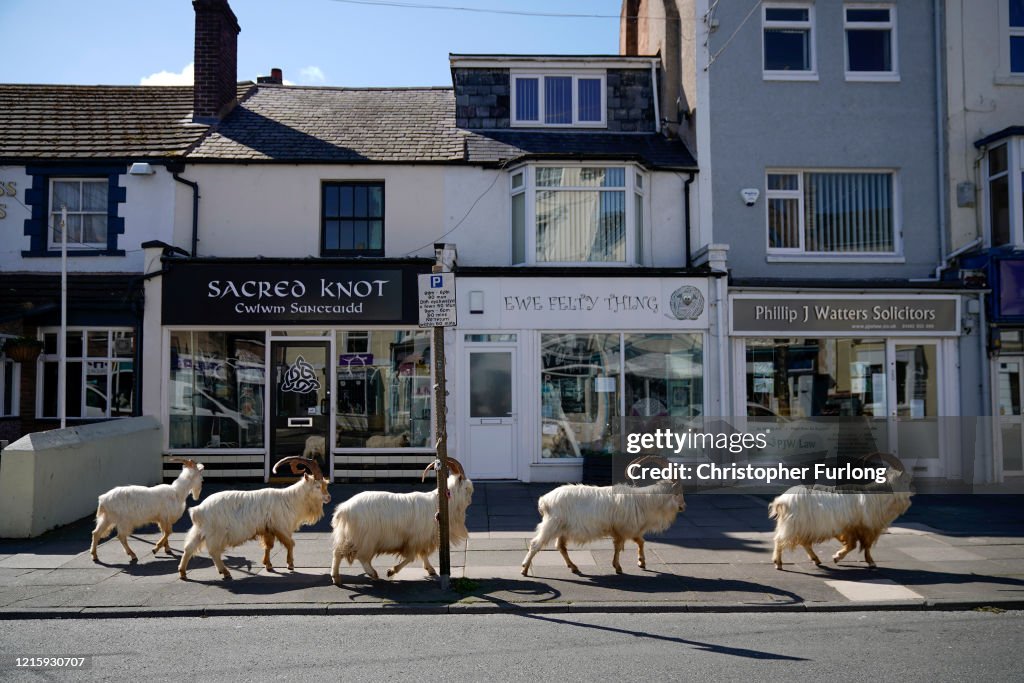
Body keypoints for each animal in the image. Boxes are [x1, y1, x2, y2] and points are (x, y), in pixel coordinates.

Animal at [178, 454, 329, 581]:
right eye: (317, 486)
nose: (328, 497)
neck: (290, 499)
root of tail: (199, 510)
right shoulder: (281, 527)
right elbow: (290, 543)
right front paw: (290, 565)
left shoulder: (268, 529)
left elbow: (269, 546)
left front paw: (268, 565)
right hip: (216, 533)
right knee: (214, 551)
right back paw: (225, 572)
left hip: (199, 531)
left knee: (189, 547)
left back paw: (183, 573)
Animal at [329, 456, 473, 585]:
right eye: (467, 488)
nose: (470, 500)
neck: (440, 503)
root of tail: (344, 509)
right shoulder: (413, 540)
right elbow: (410, 557)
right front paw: (391, 571)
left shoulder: (422, 539)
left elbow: (423, 554)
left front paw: (431, 569)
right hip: (365, 538)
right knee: (360, 557)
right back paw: (372, 573)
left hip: (350, 536)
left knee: (338, 552)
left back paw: (336, 578)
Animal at [520, 458, 688, 577]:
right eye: (678, 492)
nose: (683, 506)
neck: (643, 502)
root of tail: (544, 500)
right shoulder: (623, 529)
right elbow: (620, 547)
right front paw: (619, 567)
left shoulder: (626, 530)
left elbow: (639, 541)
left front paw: (641, 563)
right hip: (552, 524)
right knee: (535, 544)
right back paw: (524, 569)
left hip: (563, 529)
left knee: (560, 547)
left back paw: (573, 567)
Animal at [770, 454, 913, 573]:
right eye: (906, 480)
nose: (913, 491)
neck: (877, 498)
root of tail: (783, 500)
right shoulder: (861, 528)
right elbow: (860, 546)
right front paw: (868, 562)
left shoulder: (854, 529)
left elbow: (855, 545)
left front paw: (838, 558)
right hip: (794, 525)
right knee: (780, 540)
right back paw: (778, 563)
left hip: (803, 526)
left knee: (803, 542)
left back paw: (816, 559)